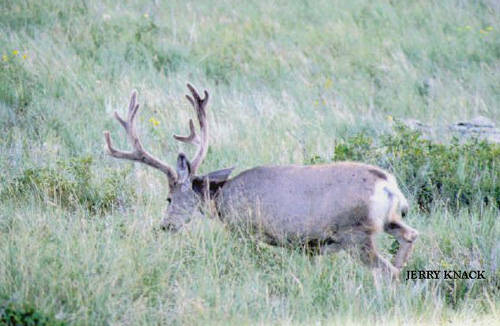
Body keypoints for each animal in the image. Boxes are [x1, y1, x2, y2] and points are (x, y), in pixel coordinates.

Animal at [104, 84, 418, 280]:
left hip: (355, 233)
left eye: (169, 197)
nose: (165, 225)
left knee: (387, 270)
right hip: (387, 222)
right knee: (409, 237)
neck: (221, 199)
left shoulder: (244, 230)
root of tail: (387, 185)